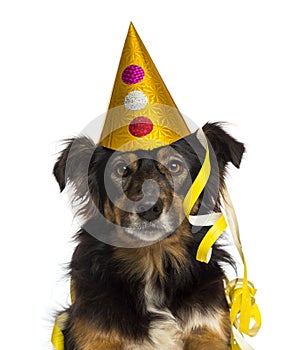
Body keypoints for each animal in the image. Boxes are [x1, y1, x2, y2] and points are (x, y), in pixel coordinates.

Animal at [53, 121, 244, 348]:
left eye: (174, 166)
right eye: (121, 169)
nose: (148, 208)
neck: (153, 264)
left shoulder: (208, 329)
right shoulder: (93, 336)